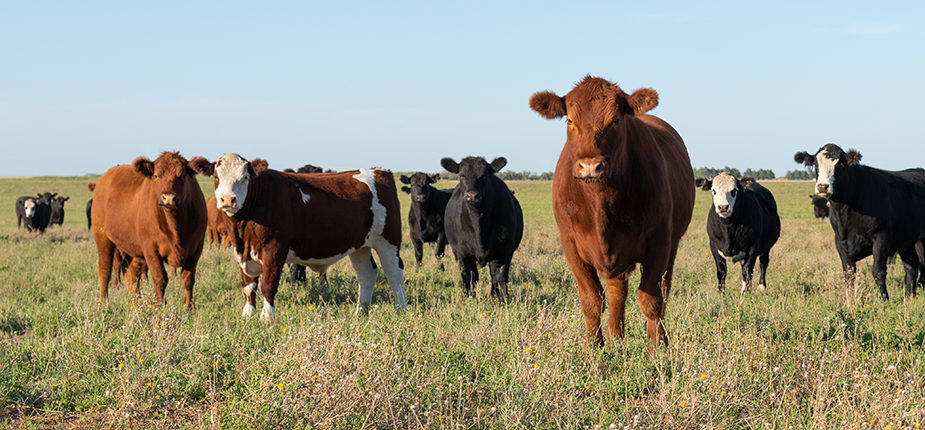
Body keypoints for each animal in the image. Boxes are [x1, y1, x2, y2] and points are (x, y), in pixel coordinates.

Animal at [91, 151, 208, 307]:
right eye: (156, 175)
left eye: (183, 175)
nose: (168, 198)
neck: (176, 226)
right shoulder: (151, 250)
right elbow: (160, 279)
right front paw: (161, 306)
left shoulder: (196, 248)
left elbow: (188, 279)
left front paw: (188, 307)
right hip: (103, 237)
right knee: (105, 270)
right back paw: (103, 302)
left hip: (132, 247)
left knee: (131, 274)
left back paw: (136, 303)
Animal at [189, 153, 407, 320]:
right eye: (216, 176)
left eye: (244, 177)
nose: (228, 200)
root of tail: (380, 171)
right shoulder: (242, 252)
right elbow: (249, 286)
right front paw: (247, 315)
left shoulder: (274, 248)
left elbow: (267, 285)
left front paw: (267, 318)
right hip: (360, 244)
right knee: (366, 274)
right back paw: (360, 312)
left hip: (388, 241)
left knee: (394, 274)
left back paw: (401, 311)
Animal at [440, 157, 523, 299]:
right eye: (461, 175)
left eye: (484, 175)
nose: (472, 196)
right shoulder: (462, 251)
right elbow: (469, 276)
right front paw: (469, 297)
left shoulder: (505, 249)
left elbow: (500, 276)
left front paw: (503, 299)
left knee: (494, 274)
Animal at [529, 75, 695, 353]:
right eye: (570, 120)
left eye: (616, 120)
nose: (590, 166)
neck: (601, 205)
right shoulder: (570, 244)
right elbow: (592, 300)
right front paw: (593, 349)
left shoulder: (659, 240)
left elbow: (650, 299)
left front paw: (657, 349)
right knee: (618, 289)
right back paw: (616, 337)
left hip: (672, 245)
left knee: (664, 289)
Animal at [795, 143, 925, 299]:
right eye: (815, 164)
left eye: (840, 165)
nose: (822, 186)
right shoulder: (840, 242)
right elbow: (849, 274)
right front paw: (850, 300)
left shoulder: (881, 237)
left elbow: (878, 271)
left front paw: (884, 300)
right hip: (906, 238)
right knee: (912, 266)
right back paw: (909, 296)